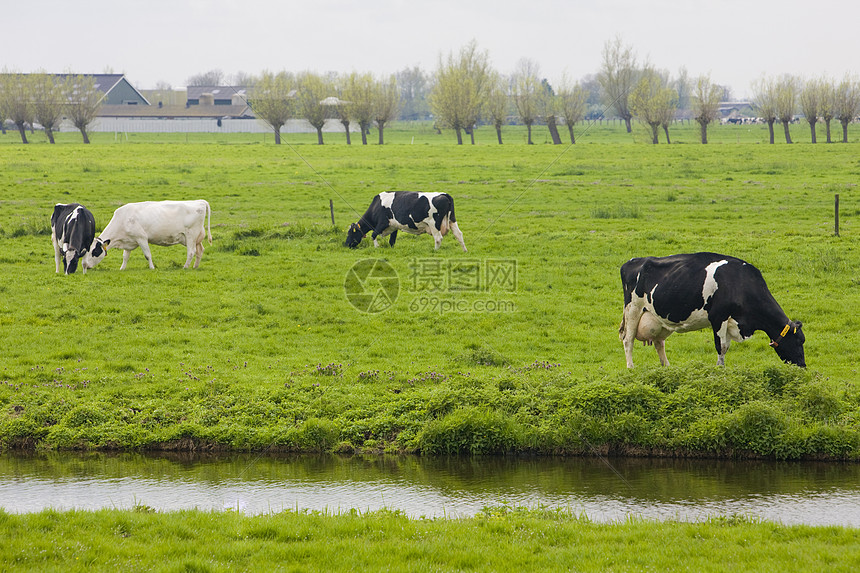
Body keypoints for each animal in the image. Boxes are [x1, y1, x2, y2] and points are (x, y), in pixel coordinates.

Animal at [620, 252, 808, 368]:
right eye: (799, 341)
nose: (803, 366)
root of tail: (633, 261)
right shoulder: (718, 317)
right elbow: (721, 347)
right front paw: (719, 369)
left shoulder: (731, 321)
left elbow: (726, 347)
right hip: (633, 309)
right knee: (628, 340)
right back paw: (631, 367)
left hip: (659, 319)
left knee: (659, 343)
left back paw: (667, 367)